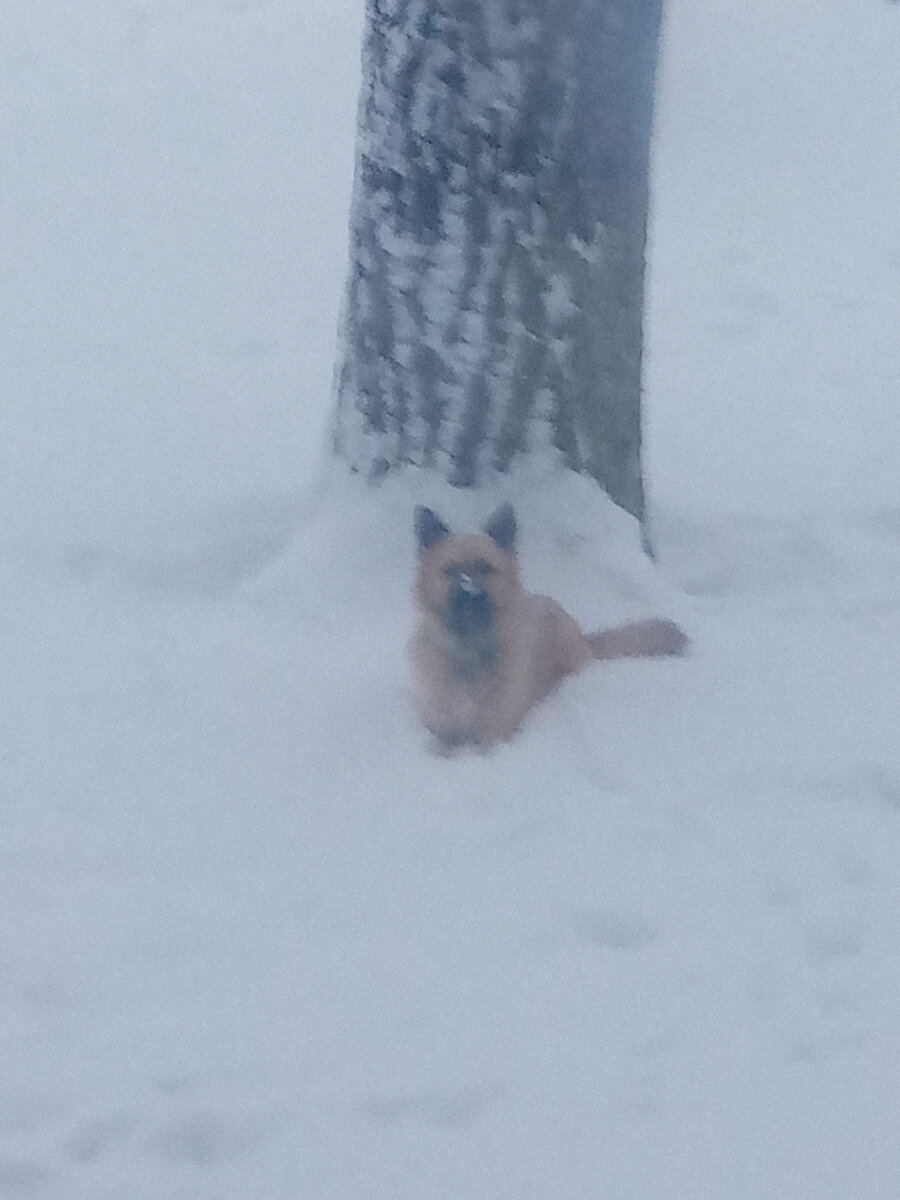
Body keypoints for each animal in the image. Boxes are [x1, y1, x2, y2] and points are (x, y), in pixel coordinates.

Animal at [412, 504, 686, 748]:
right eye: (450, 570)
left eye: (486, 568)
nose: (470, 594)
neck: (468, 650)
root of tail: (584, 637)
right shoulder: (442, 732)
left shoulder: (496, 735)